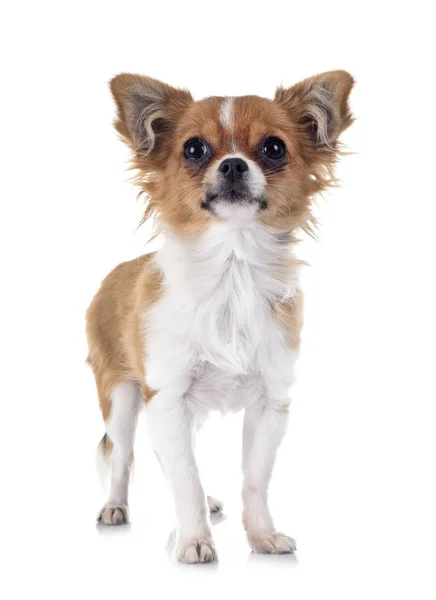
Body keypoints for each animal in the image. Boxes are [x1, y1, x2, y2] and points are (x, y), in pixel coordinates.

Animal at [86, 70, 354, 564]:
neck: (233, 269)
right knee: (121, 455)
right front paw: (194, 540)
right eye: (194, 149)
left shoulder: (269, 403)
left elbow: (253, 480)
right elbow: (184, 478)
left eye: (273, 148)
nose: (232, 165)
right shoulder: (167, 396)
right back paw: (115, 506)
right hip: (122, 396)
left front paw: (262, 536)